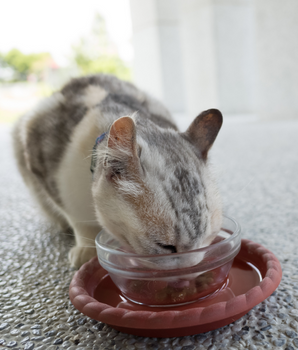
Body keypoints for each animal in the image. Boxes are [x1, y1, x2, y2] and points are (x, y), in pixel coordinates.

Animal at [12, 73, 222, 266]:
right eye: (166, 247)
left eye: (209, 236)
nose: (192, 267)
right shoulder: (40, 153)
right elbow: (78, 220)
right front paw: (86, 249)